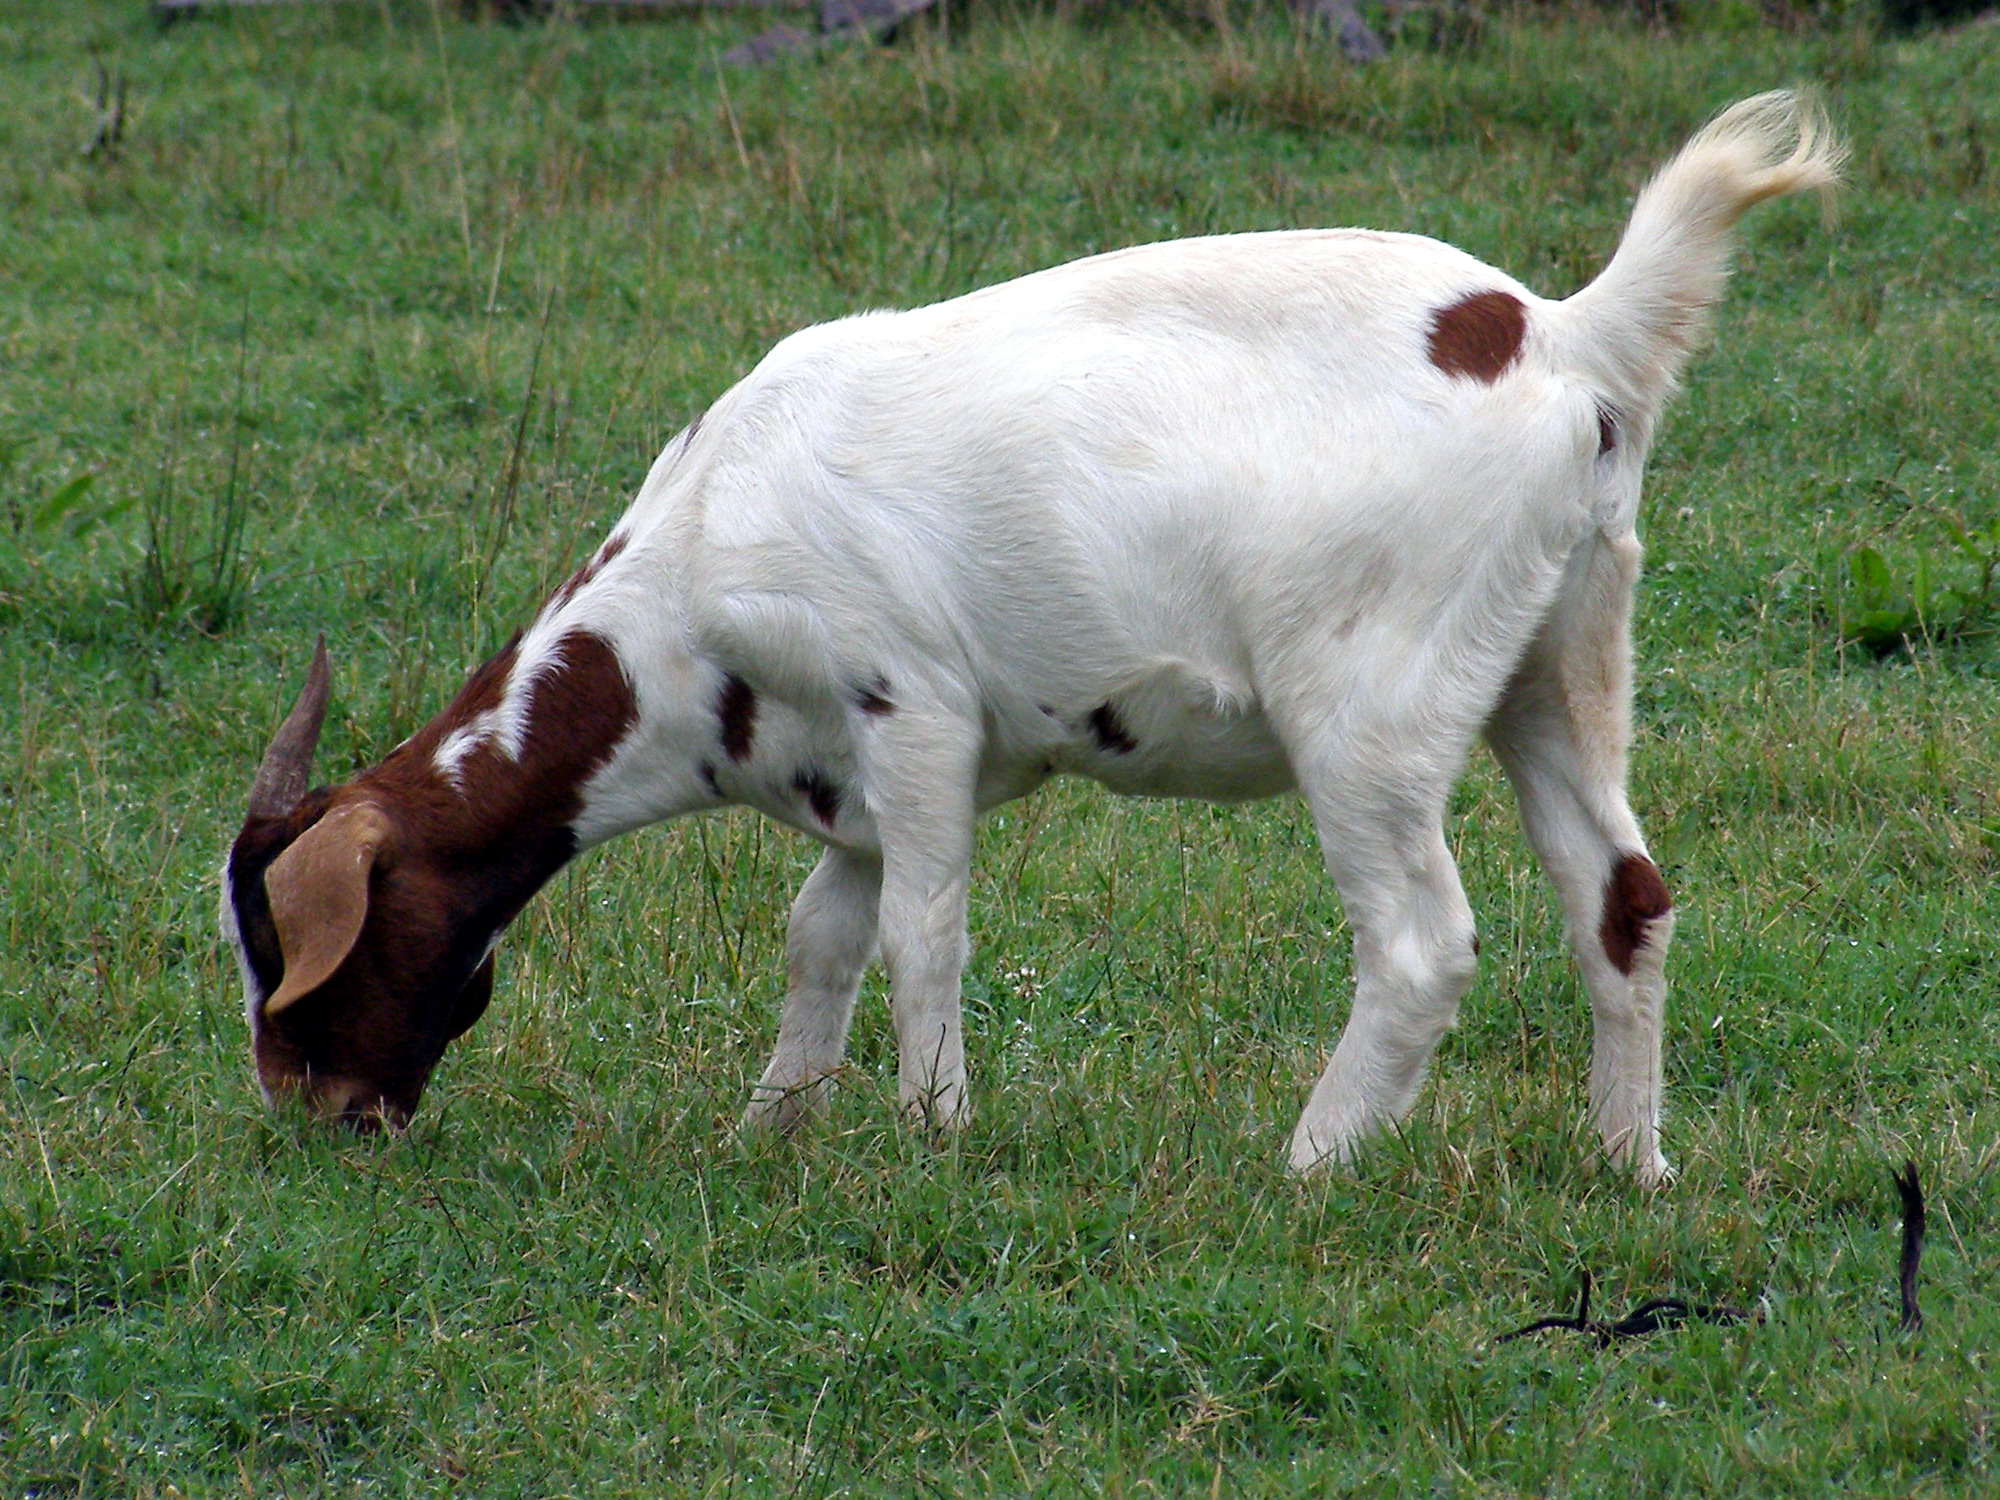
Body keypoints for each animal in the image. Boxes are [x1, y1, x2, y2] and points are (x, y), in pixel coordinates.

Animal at [227, 94, 1832, 1184]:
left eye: (298, 955)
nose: (318, 1119)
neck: (683, 591)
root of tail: (1563, 337)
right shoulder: (845, 776)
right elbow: (823, 932)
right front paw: (770, 1127)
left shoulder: (912, 706)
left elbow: (923, 929)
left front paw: (931, 1130)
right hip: (1562, 652)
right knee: (1621, 895)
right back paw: (1630, 1168)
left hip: (1372, 696)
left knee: (1421, 942)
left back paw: (1309, 1169)